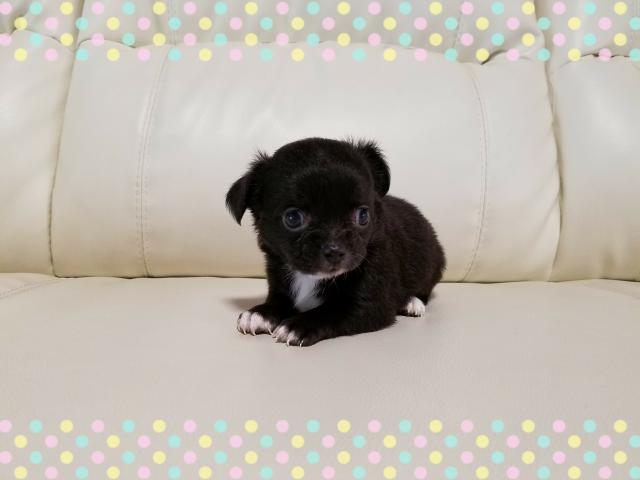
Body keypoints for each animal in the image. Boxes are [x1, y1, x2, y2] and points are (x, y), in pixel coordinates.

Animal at [225, 137, 445, 346]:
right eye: (292, 218)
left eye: (363, 215)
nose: (334, 250)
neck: (310, 277)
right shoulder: (280, 283)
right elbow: (278, 302)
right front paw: (260, 313)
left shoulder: (371, 303)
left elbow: (331, 311)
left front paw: (297, 325)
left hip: (432, 264)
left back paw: (411, 302)